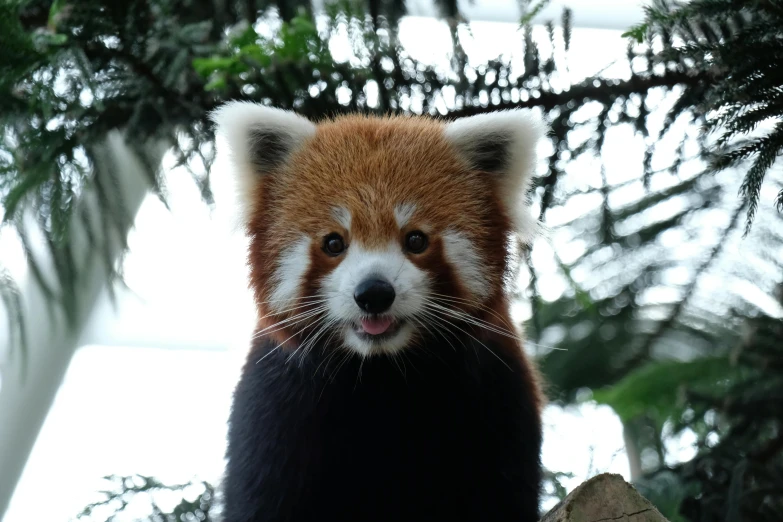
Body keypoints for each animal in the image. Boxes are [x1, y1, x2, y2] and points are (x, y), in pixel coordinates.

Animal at [211, 102, 548, 520]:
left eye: (415, 240)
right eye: (334, 243)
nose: (373, 293)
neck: (381, 374)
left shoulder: (496, 393)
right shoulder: (274, 403)